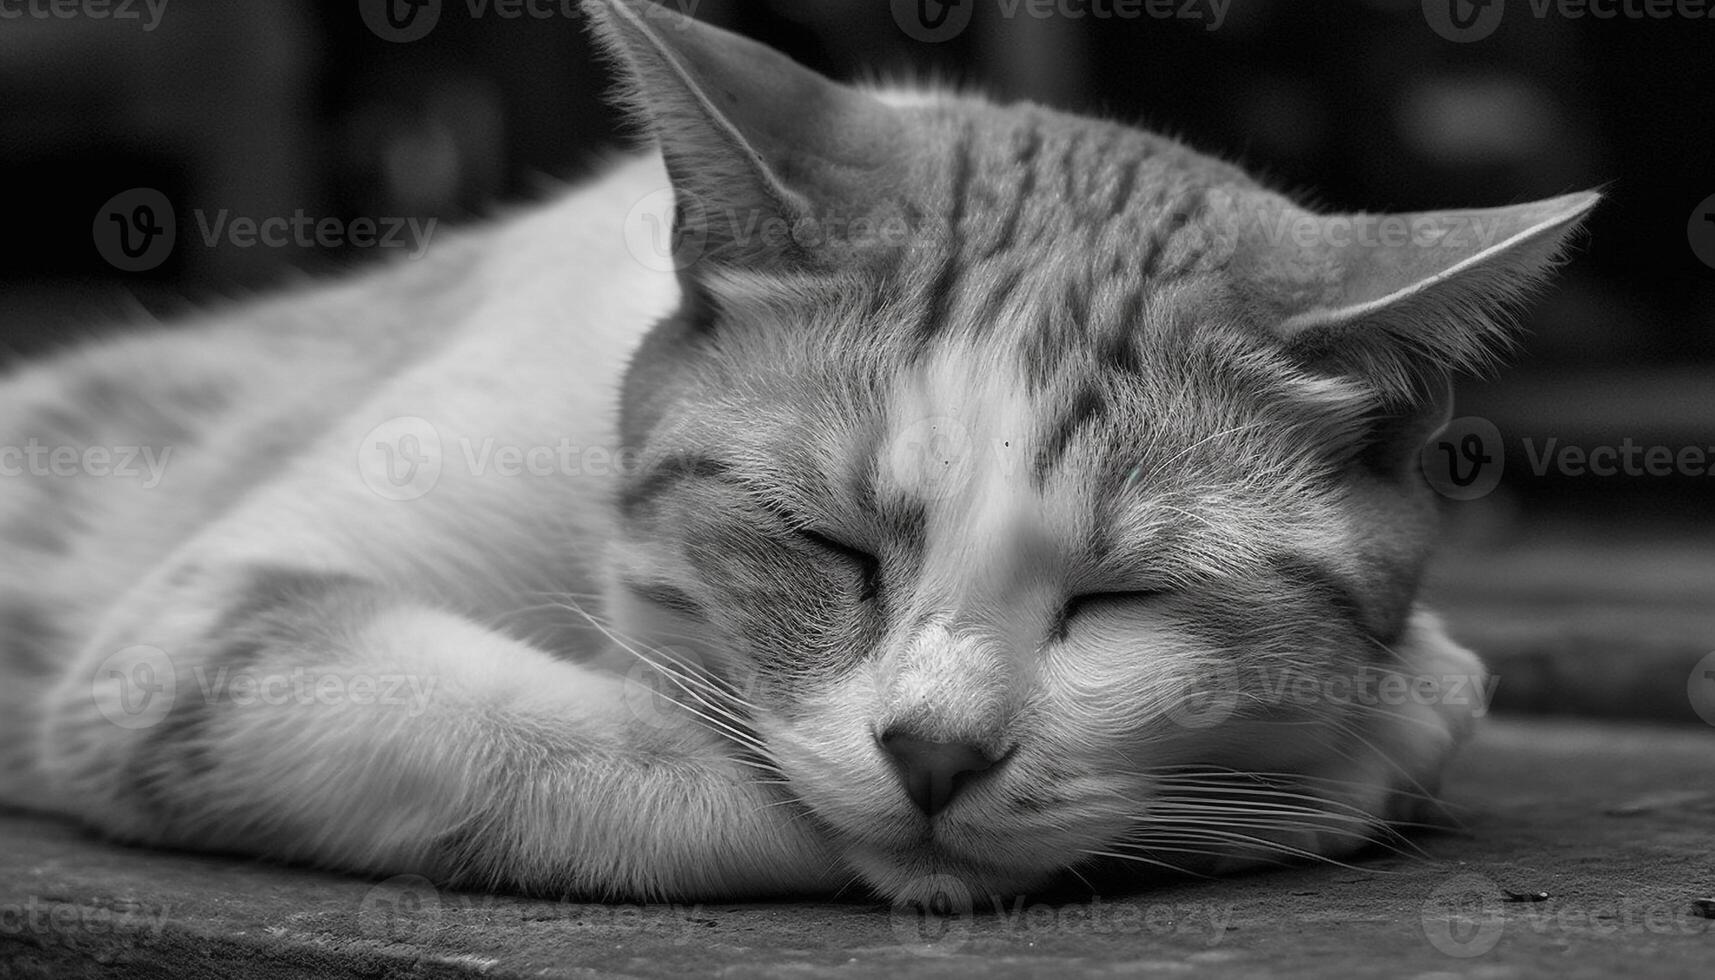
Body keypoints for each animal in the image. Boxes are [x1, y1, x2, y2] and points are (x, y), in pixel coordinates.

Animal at [0, 0, 1591, 906]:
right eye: (826, 547)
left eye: (1120, 600)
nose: (937, 753)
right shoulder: (191, 638)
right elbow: (693, 770)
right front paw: (1366, 741)